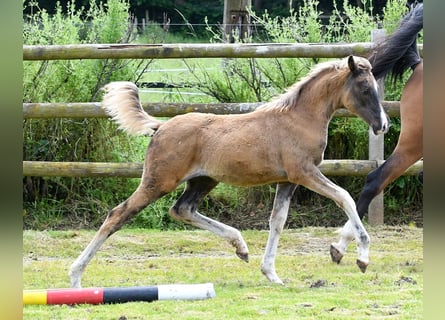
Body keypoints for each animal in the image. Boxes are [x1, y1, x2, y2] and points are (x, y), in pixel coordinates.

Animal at [67, 55, 386, 288]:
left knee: (182, 210)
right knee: (118, 215)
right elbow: (344, 196)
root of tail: (161, 126)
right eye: (364, 88)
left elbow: (277, 221)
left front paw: (271, 273)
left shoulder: (287, 181)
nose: (383, 125)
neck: (299, 118)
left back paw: (240, 247)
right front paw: (362, 257)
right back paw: (75, 276)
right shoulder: (304, 173)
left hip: (202, 181)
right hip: (159, 181)